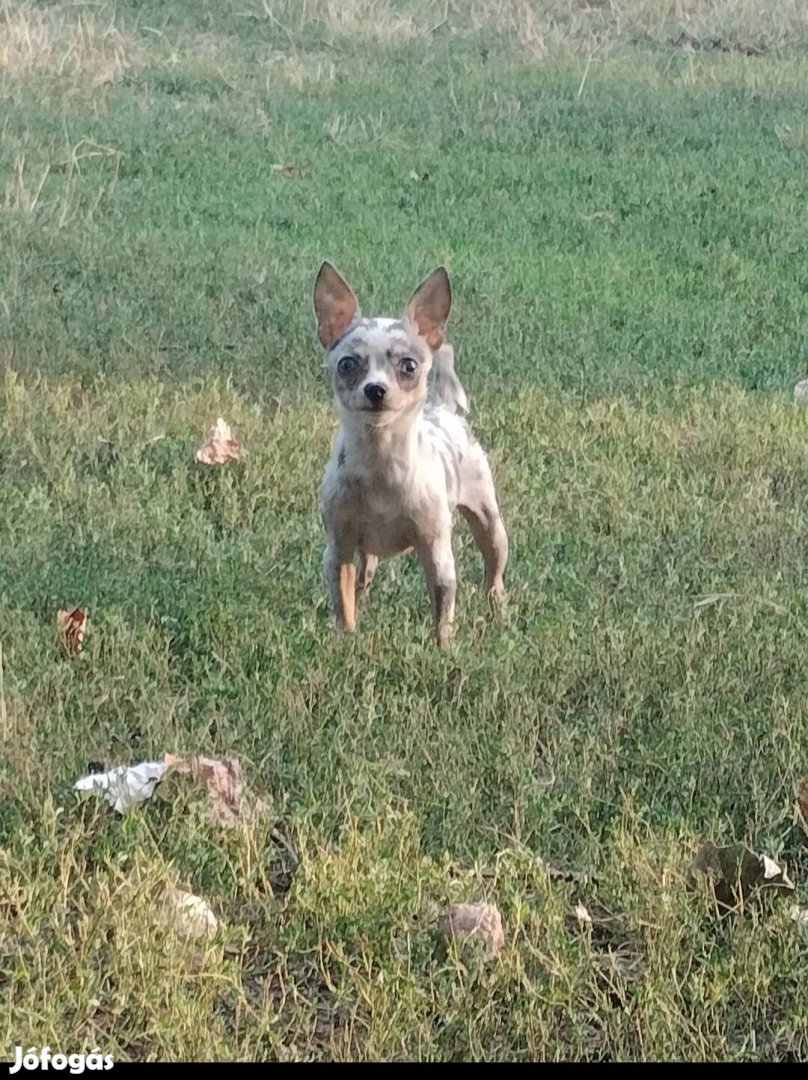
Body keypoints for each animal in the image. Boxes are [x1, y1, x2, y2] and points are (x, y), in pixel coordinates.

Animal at [313, 261, 507, 648]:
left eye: (409, 366)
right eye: (347, 365)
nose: (375, 389)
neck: (380, 459)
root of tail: (442, 406)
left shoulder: (436, 553)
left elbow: (443, 609)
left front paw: (443, 650)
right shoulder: (339, 549)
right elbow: (342, 603)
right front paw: (346, 641)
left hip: (490, 525)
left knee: (494, 573)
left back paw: (499, 610)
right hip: (365, 553)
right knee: (362, 579)